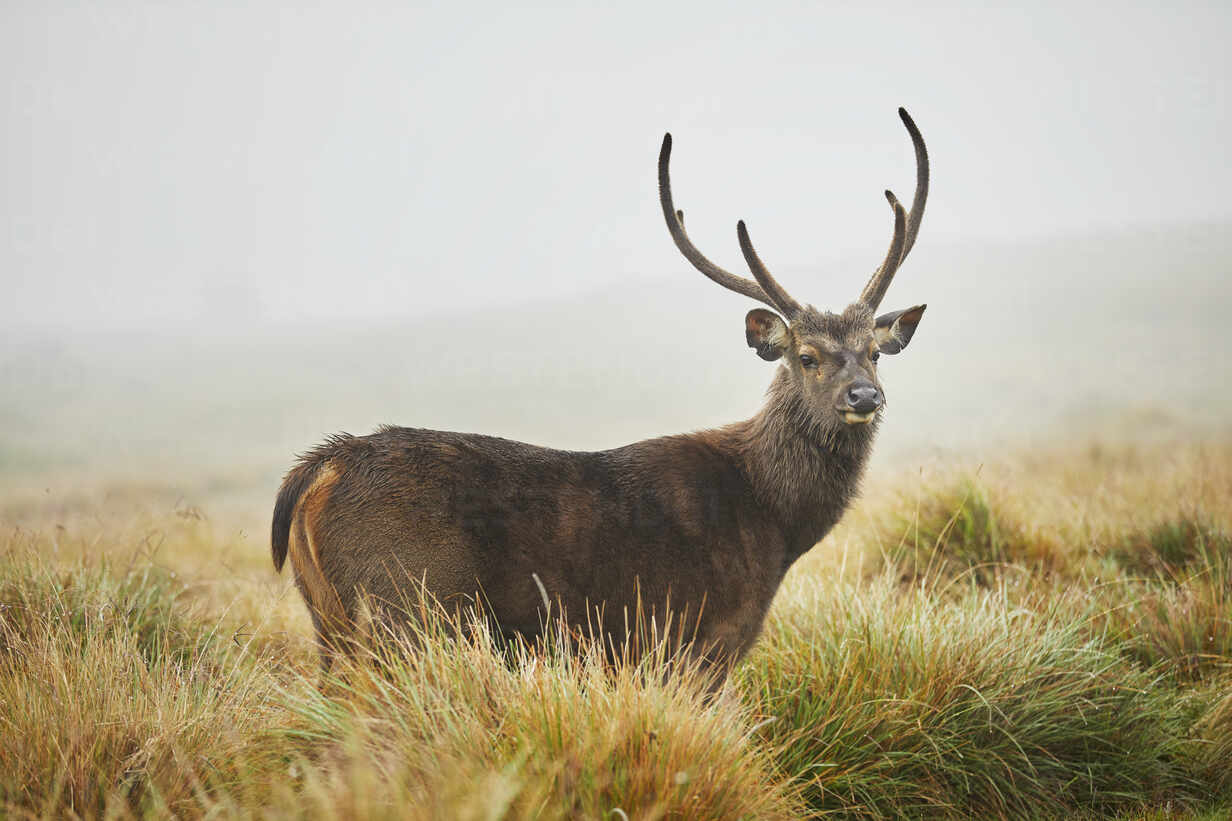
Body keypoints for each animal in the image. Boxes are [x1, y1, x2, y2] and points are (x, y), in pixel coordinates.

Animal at [274, 107, 926, 670]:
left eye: (874, 353)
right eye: (807, 357)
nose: (864, 397)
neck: (774, 523)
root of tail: (320, 466)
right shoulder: (695, 639)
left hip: (329, 620)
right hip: (403, 607)